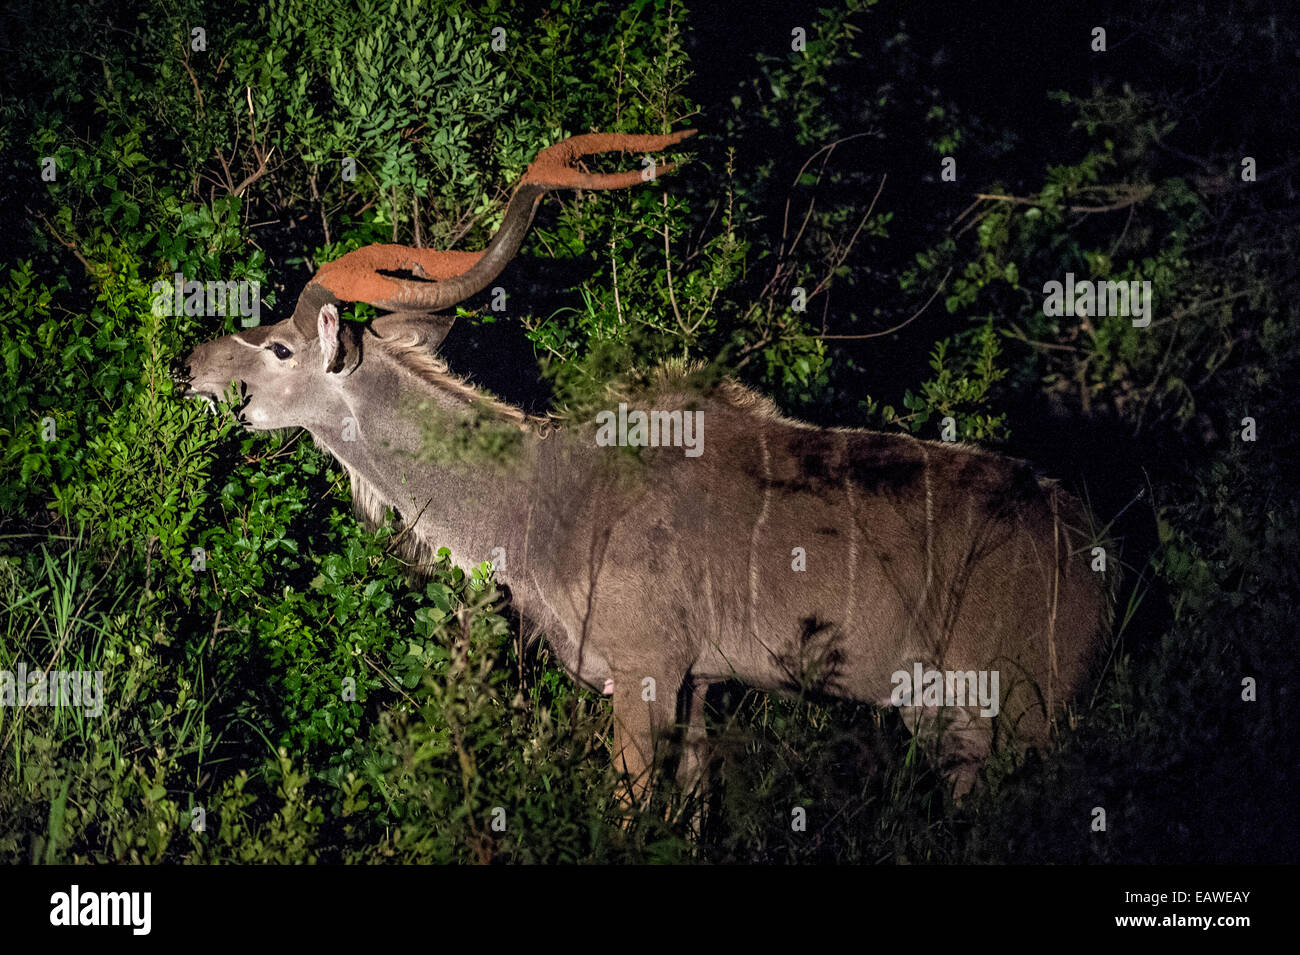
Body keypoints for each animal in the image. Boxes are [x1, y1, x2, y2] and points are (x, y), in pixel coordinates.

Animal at [183, 130, 1112, 805]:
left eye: (279, 348)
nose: (193, 365)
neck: (539, 493)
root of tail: (1088, 545)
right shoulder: (699, 687)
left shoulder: (643, 677)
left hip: (1015, 714)